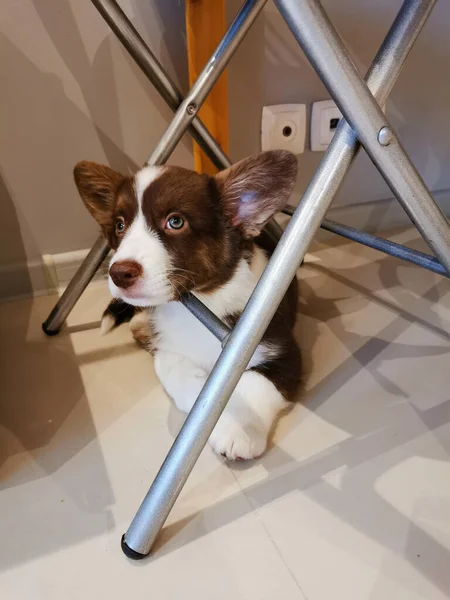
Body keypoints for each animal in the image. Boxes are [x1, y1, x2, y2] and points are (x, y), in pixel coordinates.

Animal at [74, 150, 302, 460]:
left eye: (175, 222)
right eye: (120, 225)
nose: (118, 273)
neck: (203, 304)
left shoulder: (281, 350)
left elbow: (255, 384)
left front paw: (239, 432)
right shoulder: (170, 352)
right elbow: (186, 379)